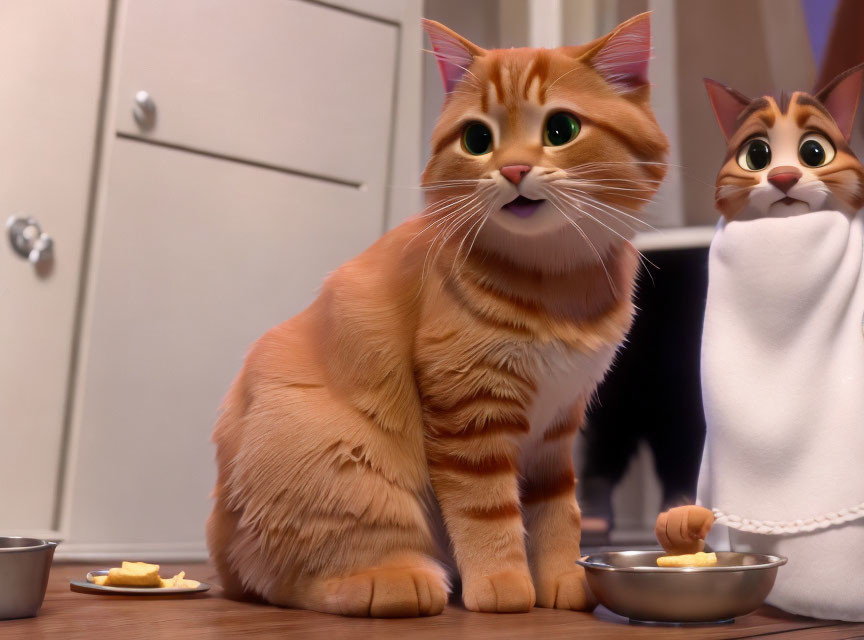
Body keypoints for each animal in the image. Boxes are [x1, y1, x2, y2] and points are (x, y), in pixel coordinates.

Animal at [209, 12, 668, 616]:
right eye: (477, 139)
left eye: (561, 129)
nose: (513, 169)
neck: (559, 282)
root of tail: (219, 547)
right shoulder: (471, 410)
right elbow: (488, 513)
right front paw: (504, 585)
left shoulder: (558, 425)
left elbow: (557, 512)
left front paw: (565, 579)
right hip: (342, 461)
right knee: (294, 581)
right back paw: (398, 580)